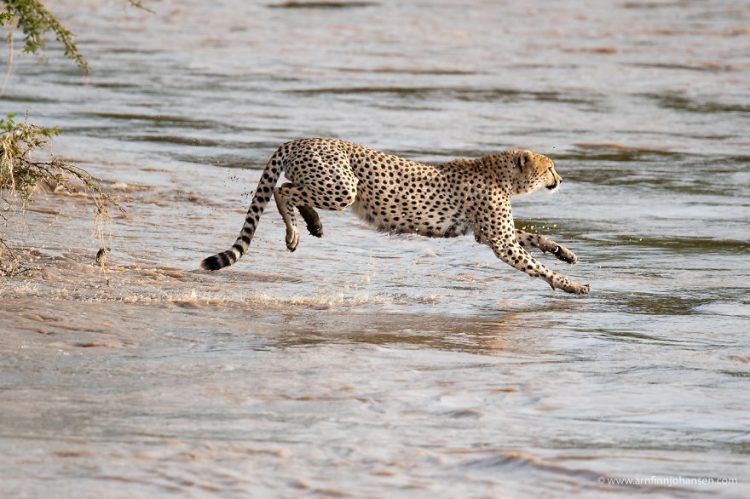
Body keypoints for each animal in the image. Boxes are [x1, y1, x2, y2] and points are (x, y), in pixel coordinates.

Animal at [203, 137, 592, 294]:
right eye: (550, 167)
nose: (560, 179)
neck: (501, 175)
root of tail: (302, 139)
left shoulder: (491, 232)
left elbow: (535, 238)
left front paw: (564, 252)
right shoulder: (499, 240)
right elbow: (535, 266)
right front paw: (570, 285)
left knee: (287, 190)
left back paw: (312, 223)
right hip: (344, 188)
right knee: (283, 191)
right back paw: (296, 231)